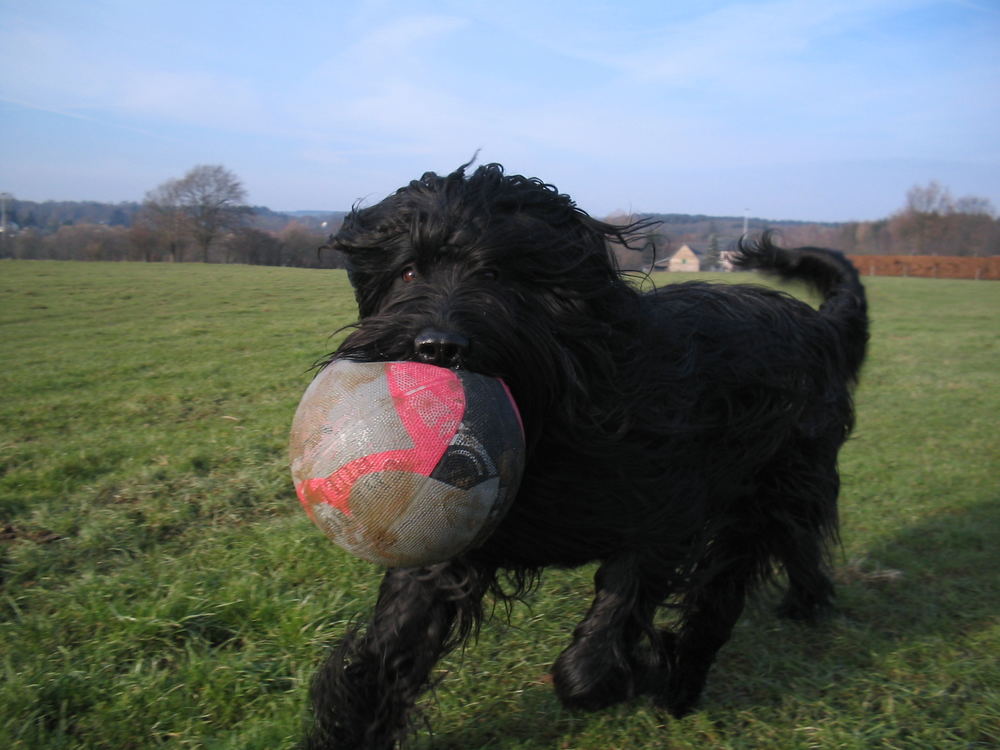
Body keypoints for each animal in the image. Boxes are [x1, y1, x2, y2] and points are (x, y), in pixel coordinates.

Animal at [302, 162, 868, 748]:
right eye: (409, 272)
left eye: (497, 274)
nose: (437, 347)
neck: (552, 409)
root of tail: (824, 326)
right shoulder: (446, 534)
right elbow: (390, 647)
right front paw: (347, 729)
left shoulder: (667, 511)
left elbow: (608, 629)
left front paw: (625, 670)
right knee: (796, 544)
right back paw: (806, 602)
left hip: (768, 492)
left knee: (721, 595)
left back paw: (683, 680)